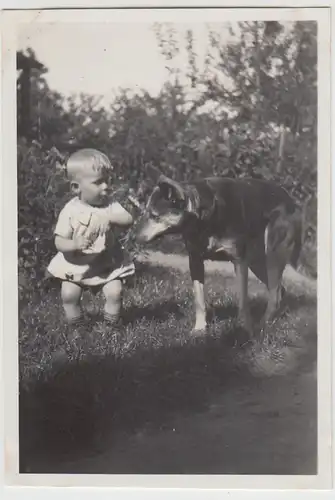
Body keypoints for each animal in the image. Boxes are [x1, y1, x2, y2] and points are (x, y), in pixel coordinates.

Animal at [133, 170, 304, 338]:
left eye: (154, 215)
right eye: (145, 213)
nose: (134, 237)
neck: (203, 218)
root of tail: (291, 201)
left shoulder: (239, 260)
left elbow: (243, 302)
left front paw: (245, 330)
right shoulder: (195, 260)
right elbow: (199, 299)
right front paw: (200, 329)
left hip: (272, 255)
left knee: (275, 294)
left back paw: (261, 326)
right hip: (258, 262)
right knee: (279, 290)